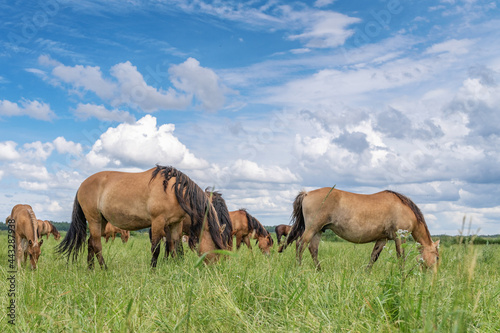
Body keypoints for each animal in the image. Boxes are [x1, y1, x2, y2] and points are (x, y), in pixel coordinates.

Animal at [56, 165, 227, 268]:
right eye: (217, 248)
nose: (216, 269)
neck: (174, 191)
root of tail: (82, 185)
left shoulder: (175, 224)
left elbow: (176, 248)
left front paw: (178, 267)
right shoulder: (158, 222)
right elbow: (156, 249)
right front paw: (153, 271)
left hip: (101, 222)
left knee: (91, 243)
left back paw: (90, 269)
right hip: (94, 219)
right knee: (97, 245)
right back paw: (104, 269)